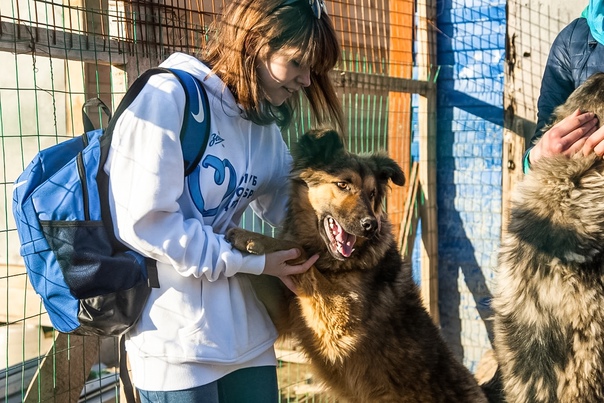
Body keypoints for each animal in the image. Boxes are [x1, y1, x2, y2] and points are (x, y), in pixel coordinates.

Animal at [229, 129, 488, 403]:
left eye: (372, 193)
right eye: (343, 185)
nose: (370, 225)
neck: (334, 262)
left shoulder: (338, 322)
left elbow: (299, 253)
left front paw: (250, 237)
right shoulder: (285, 312)